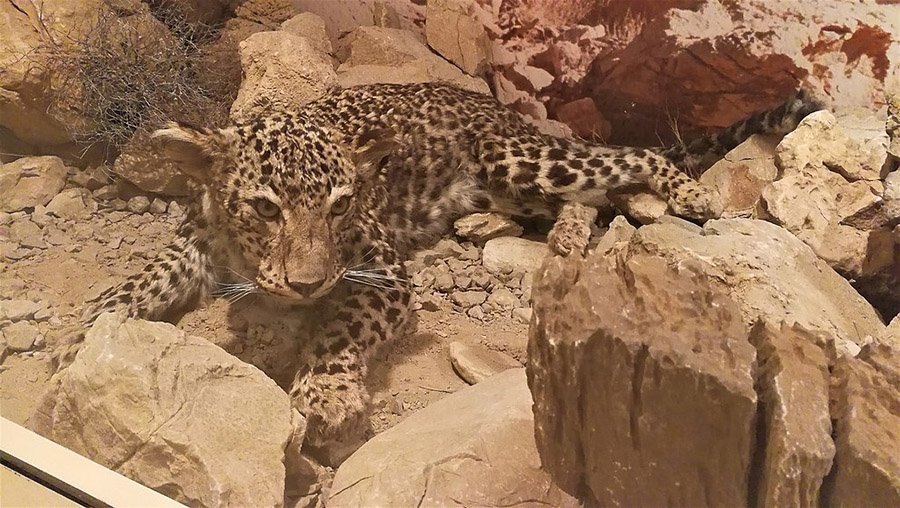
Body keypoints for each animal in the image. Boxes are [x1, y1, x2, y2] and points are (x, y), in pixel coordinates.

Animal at [72, 82, 821, 453]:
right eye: (264, 207)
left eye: (342, 205)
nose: (307, 282)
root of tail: (498, 107)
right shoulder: (193, 243)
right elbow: (138, 282)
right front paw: (83, 334)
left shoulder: (382, 272)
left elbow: (340, 327)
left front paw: (326, 390)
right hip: (517, 178)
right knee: (578, 200)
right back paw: (507, 226)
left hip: (522, 157)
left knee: (626, 162)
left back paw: (689, 194)